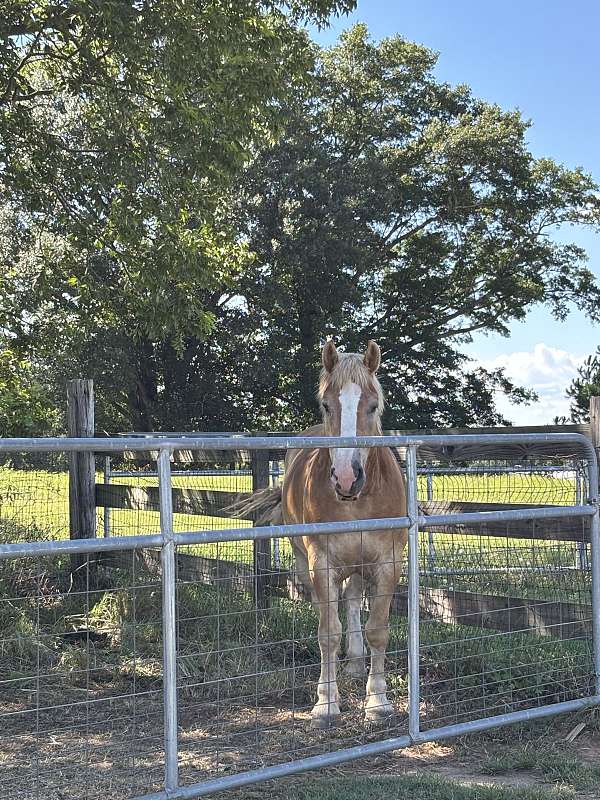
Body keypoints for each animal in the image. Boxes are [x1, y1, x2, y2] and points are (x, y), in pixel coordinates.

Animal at [234, 340, 407, 728]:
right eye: (327, 404)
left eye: (373, 405)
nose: (346, 477)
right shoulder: (322, 563)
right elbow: (328, 632)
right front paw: (326, 704)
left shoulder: (387, 564)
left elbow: (377, 629)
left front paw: (378, 702)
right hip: (307, 562)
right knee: (325, 608)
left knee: (354, 602)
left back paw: (356, 665)